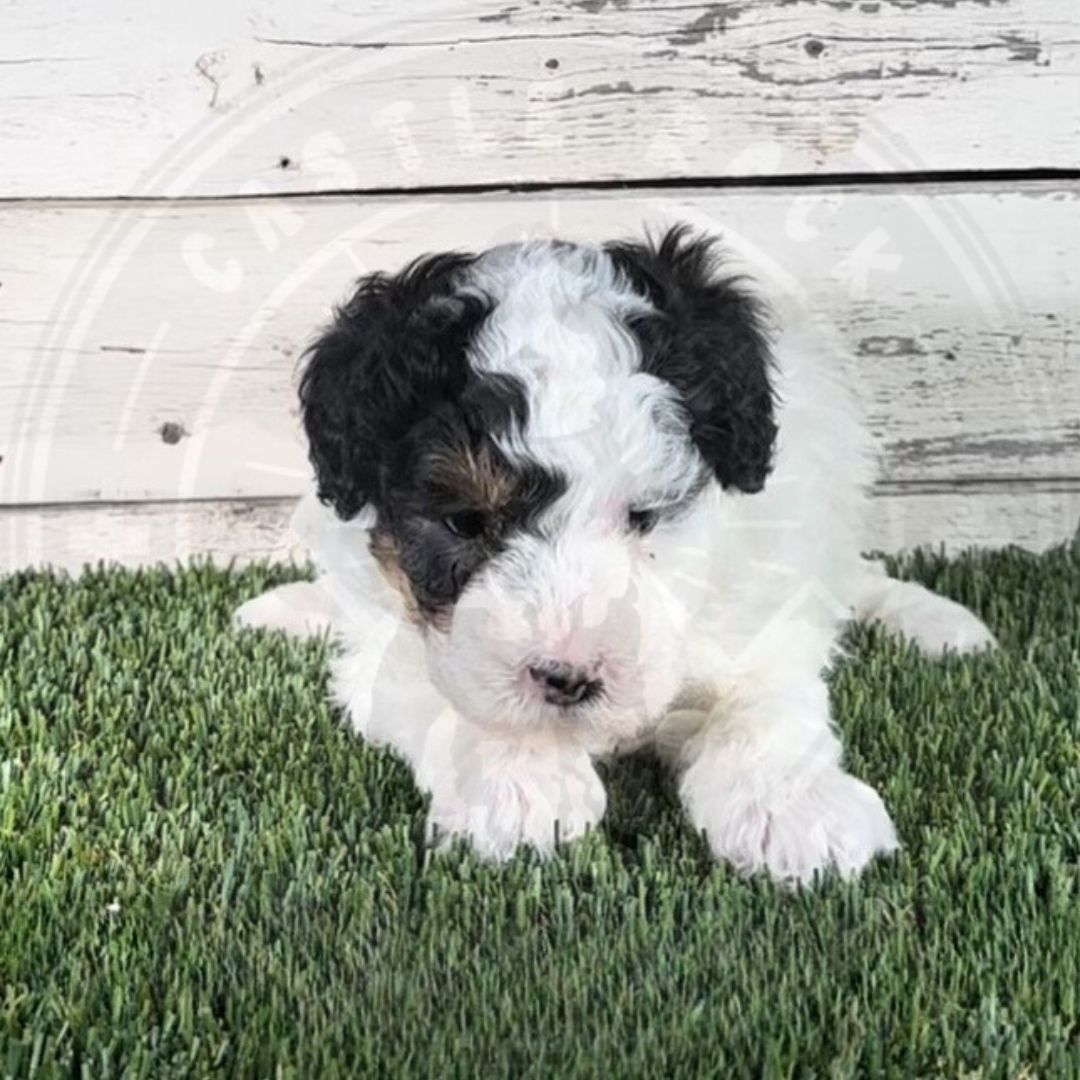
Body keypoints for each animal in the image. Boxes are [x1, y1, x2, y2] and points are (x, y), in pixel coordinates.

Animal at [238, 223, 993, 881]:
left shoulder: (763, 589)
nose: (566, 678)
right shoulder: (393, 626)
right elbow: (431, 681)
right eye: (464, 521)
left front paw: (792, 807)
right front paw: (521, 784)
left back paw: (941, 626)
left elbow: (766, 697)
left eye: (646, 516)